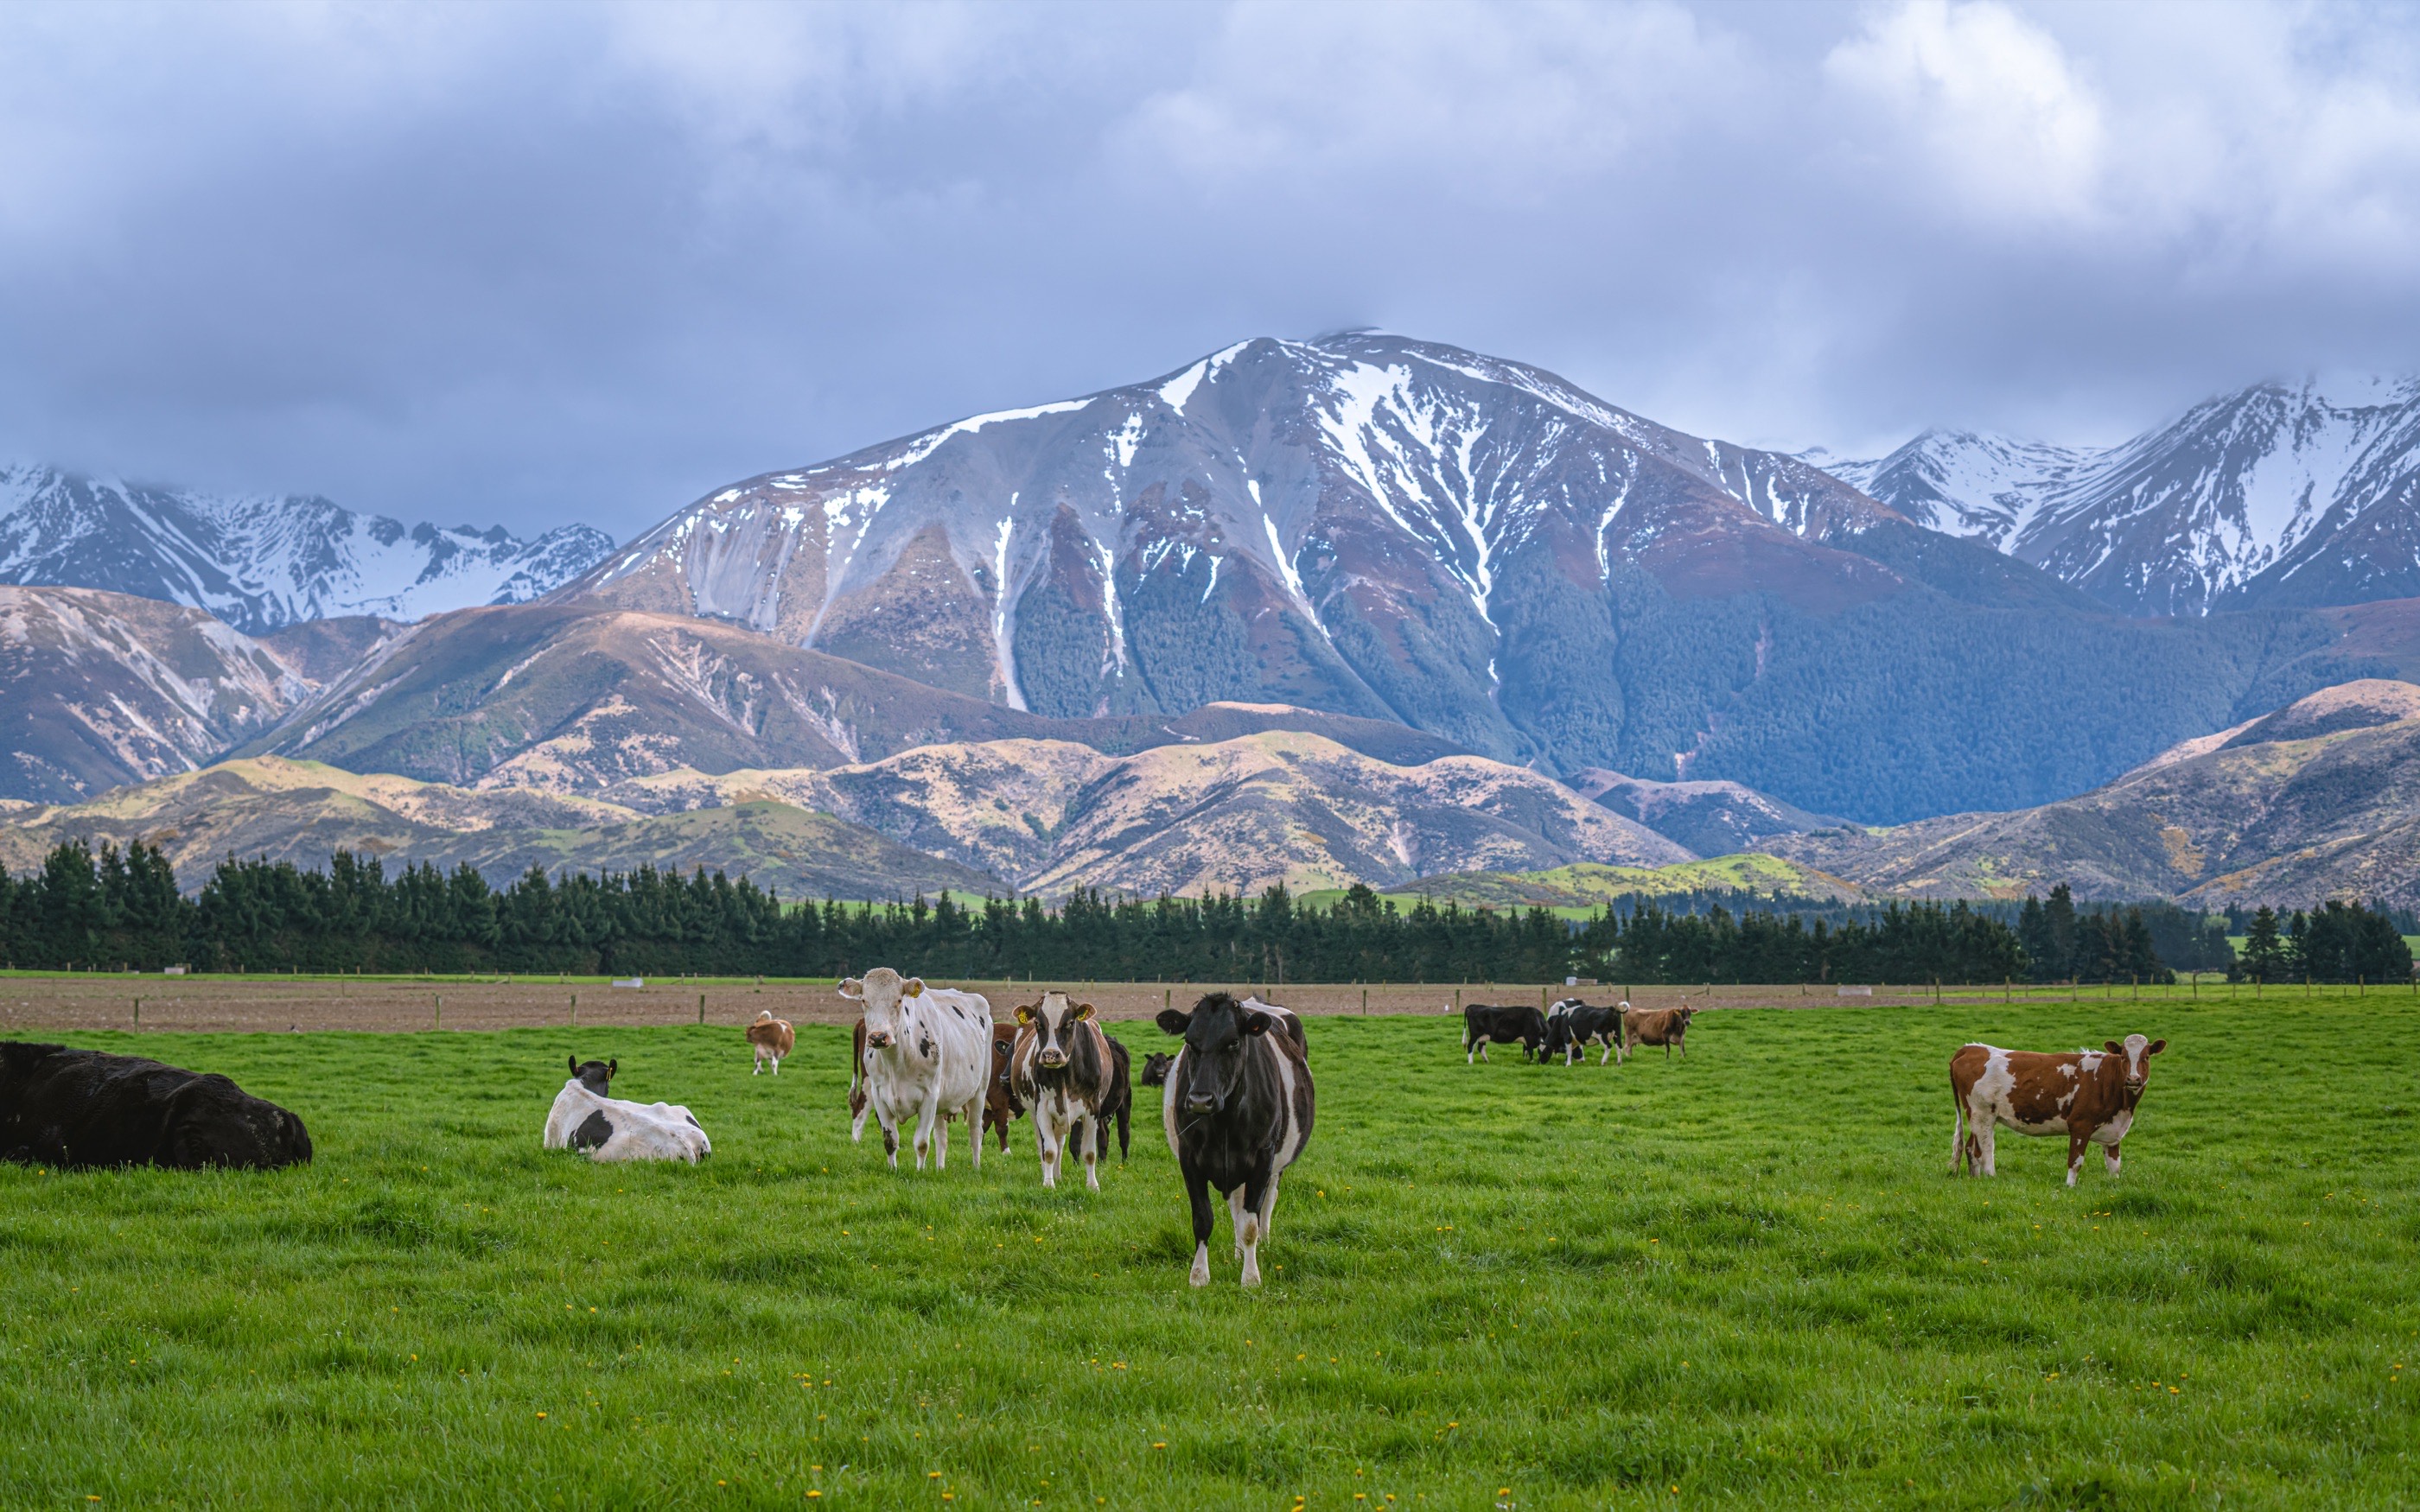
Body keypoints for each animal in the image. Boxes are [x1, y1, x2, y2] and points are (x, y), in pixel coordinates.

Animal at [841, 968, 993, 1172]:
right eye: (864, 1000)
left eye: (899, 1000)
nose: (879, 1037)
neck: (896, 1062)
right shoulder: (879, 1095)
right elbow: (890, 1140)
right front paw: (893, 1170)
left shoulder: (929, 1096)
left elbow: (921, 1142)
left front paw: (920, 1172)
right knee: (941, 1136)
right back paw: (940, 1168)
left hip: (979, 1090)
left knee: (976, 1131)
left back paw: (976, 1167)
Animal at [1156, 991, 1316, 1288]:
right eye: (1189, 1042)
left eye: (1233, 1042)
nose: (1200, 1100)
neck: (1225, 1123)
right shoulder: (1189, 1158)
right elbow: (1203, 1219)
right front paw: (1199, 1276)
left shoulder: (1263, 1158)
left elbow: (1251, 1223)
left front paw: (1251, 1278)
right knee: (1237, 1208)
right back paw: (1238, 1251)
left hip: (1276, 1165)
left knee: (1266, 1203)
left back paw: (1262, 1244)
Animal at [1950, 1035, 2168, 1187]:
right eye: (2123, 1056)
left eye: (2146, 1057)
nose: (2133, 1079)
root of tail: (1971, 1048)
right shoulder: (2080, 1125)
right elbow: (2075, 1161)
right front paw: (2070, 1187)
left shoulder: (2113, 1133)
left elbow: (2115, 1165)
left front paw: (2115, 1186)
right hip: (1982, 1114)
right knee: (1986, 1151)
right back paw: (1991, 1178)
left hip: (1978, 1117)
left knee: (1970, 1148)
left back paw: (1976, 1179)